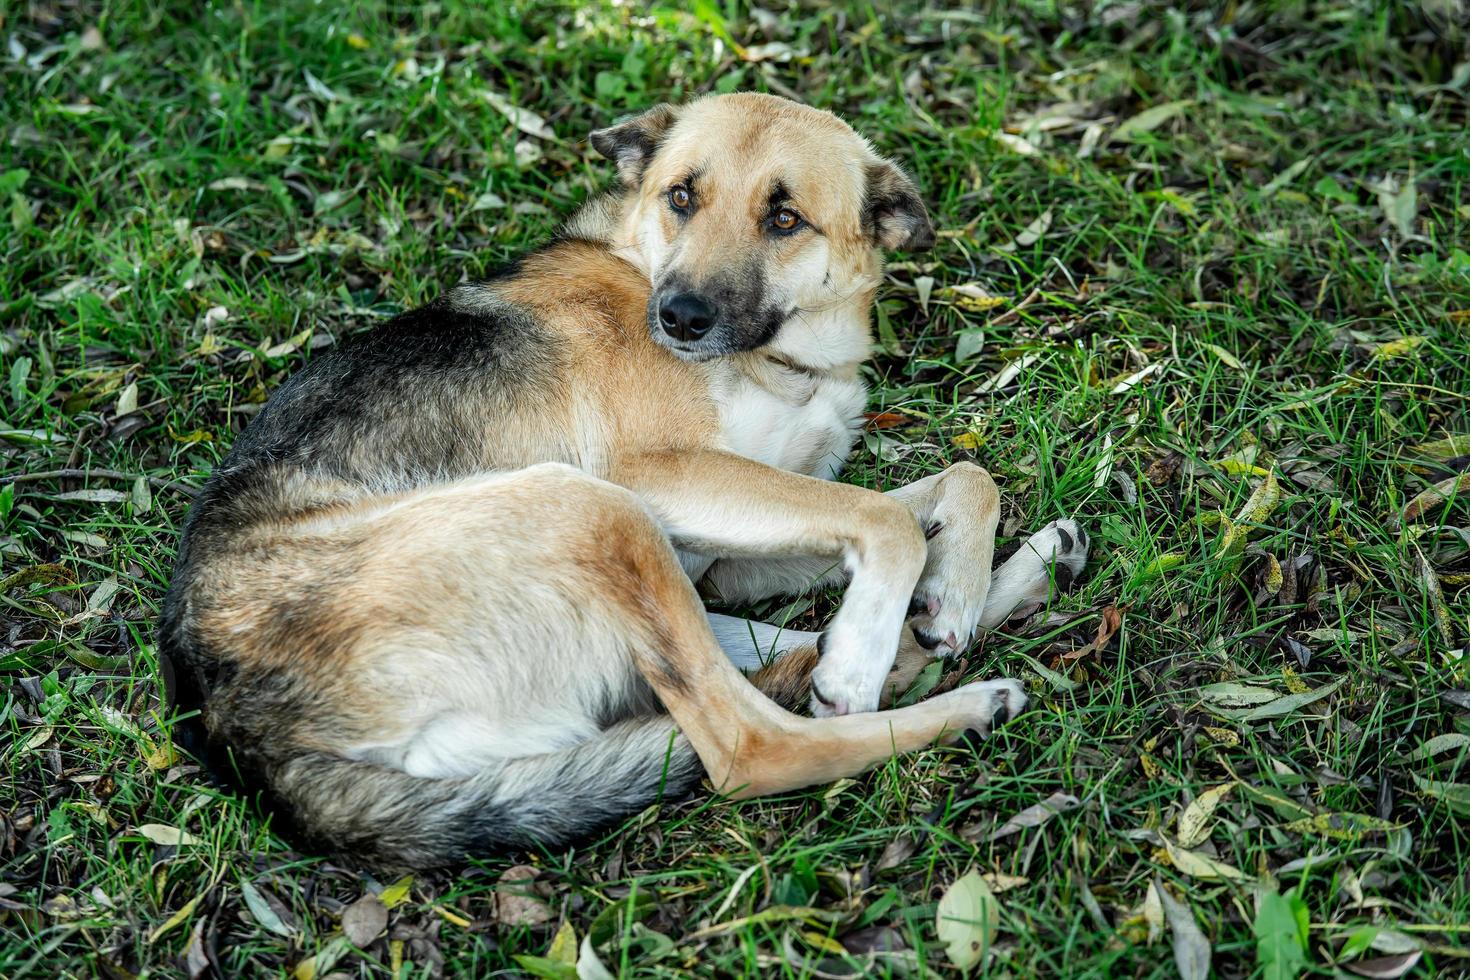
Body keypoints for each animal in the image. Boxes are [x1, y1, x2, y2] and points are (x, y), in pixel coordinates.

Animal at [158, 95, 1093, 869]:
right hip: (593, 509)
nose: (678, 317)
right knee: (755, 746)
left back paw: (1001, 589)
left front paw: (950, 594)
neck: (783, 358)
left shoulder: (731, 558)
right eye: (681, 196)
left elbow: (962, 478)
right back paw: (929, 689)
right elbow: (886, 520)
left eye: (785, 216)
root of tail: (240, 736)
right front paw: (866, 651)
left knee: (788, 665)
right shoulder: (663, 475)